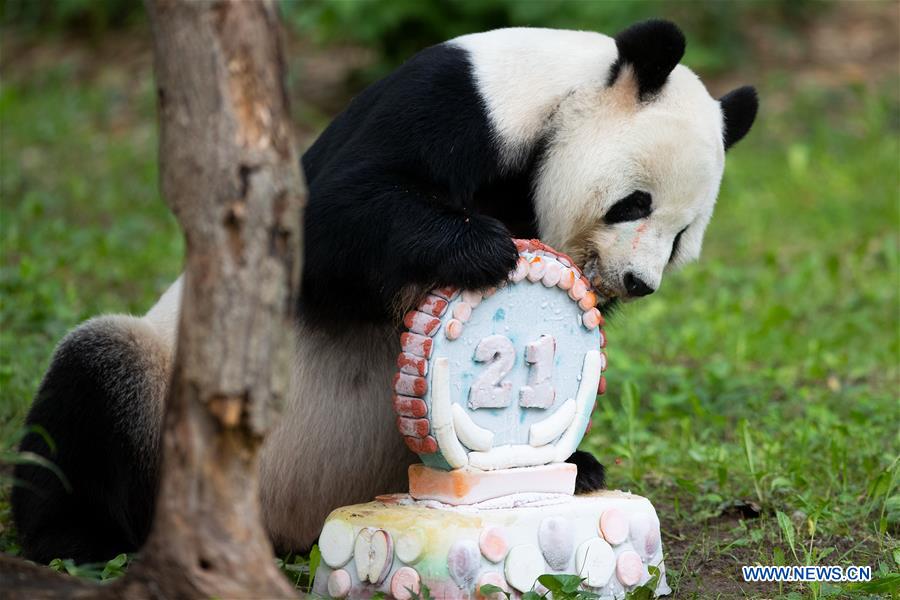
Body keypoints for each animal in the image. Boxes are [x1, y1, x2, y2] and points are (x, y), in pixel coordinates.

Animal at [15, 18, 760, 564]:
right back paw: (72, 537)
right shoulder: (456, 102)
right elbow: (327, 224)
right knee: (90, 379)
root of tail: (279, 529)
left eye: (683, 234)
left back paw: (585, 465)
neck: (561, 98)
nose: (637, 283)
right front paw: (482, 247)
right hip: (171, 391)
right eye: (634, 204)